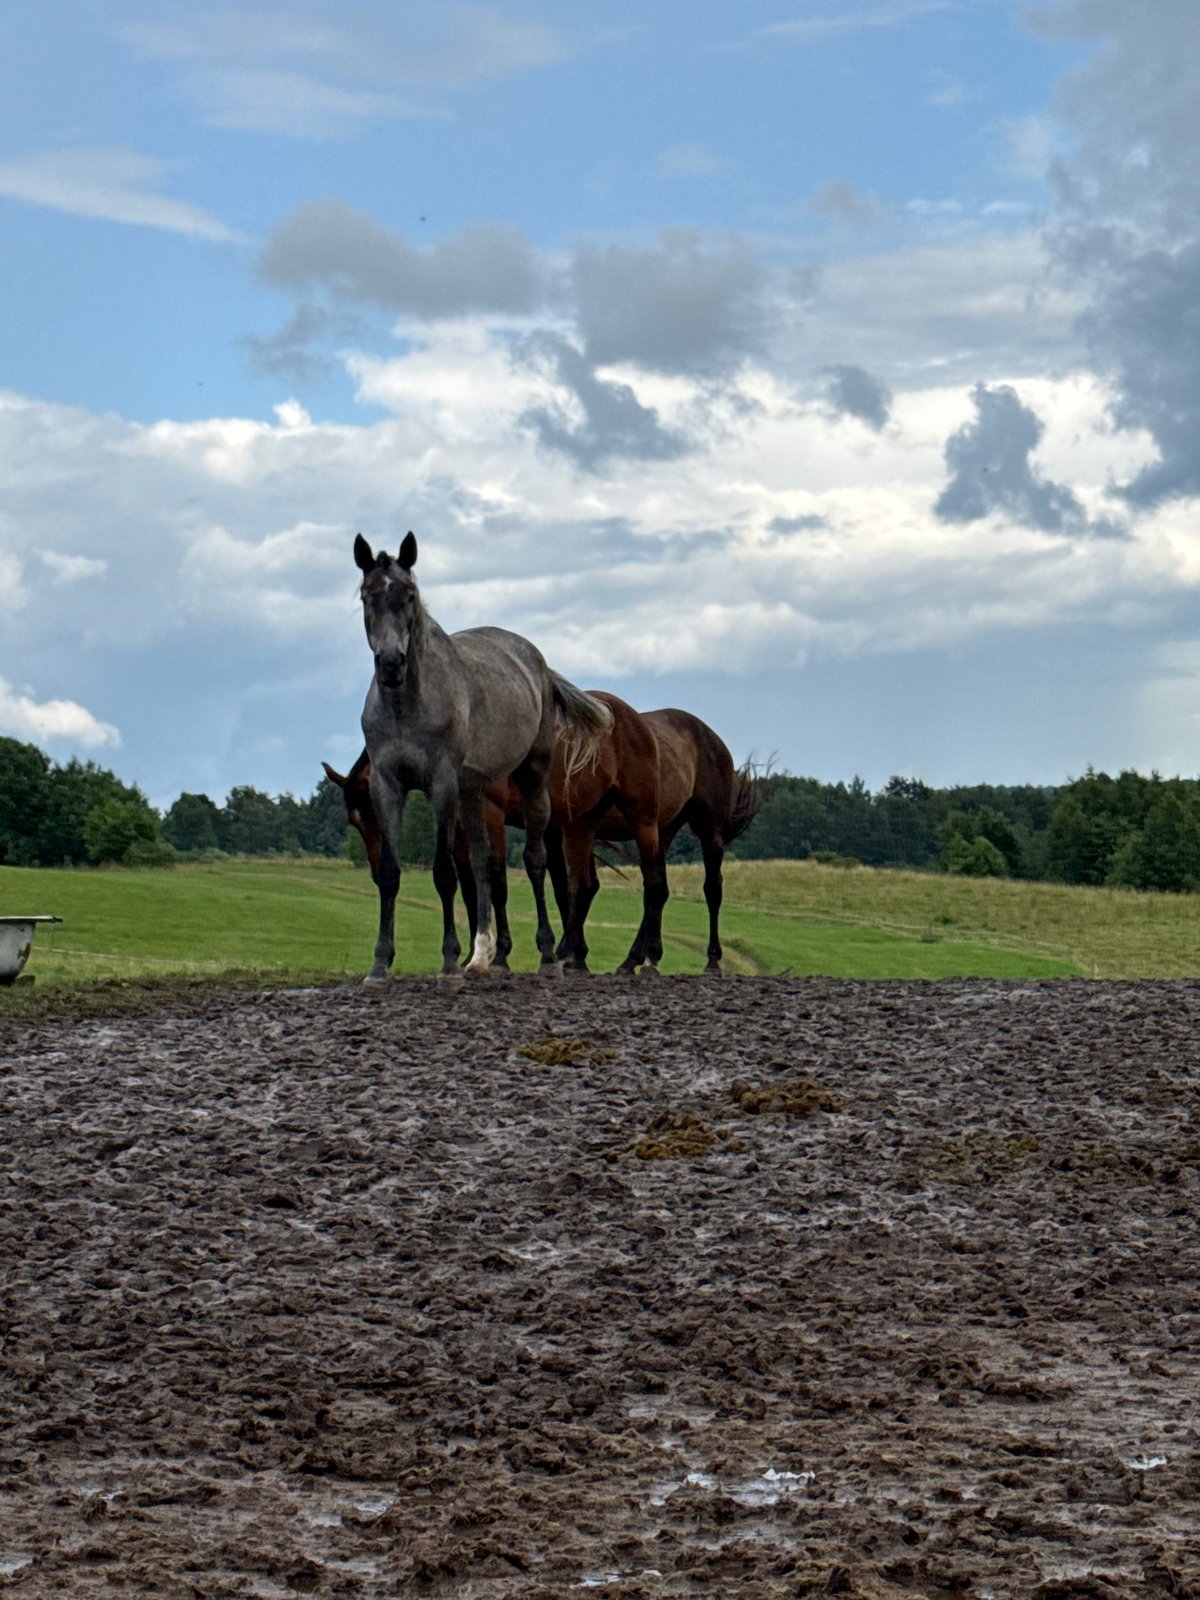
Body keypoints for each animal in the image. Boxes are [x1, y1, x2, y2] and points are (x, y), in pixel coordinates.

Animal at [352, 531, 612, 982]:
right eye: (368, 596)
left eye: (409, 595)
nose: (390, 663)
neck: (406, 705)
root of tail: (537, 661)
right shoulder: (388, 785)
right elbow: (391, 873)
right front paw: (381, 963)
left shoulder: (440, 784)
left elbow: (444, 873)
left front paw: (448, 960)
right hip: (473, 792)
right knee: (481, 861)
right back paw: (482, 954)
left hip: (532, 779)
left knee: (535, 861)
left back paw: (547, 955)